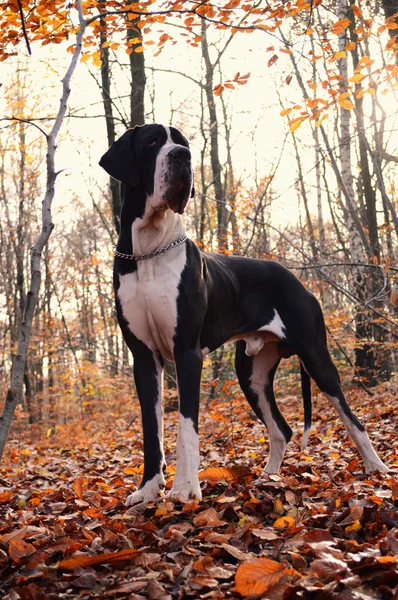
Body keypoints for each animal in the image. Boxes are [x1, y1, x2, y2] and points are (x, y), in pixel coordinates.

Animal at [100, 124, 388, 504]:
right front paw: (148, 490)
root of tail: (296, 278)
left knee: (353, 420)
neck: (149, 251)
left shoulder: (187, 352)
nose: (182, 156)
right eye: (152, 141)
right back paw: (268, 479)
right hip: (251, 373)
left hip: (316, 358)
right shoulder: (144, 359)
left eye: (183, 143)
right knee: (282, 429)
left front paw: (185, 488)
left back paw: (377, 470)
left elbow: (186, 426)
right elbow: (152, 430)